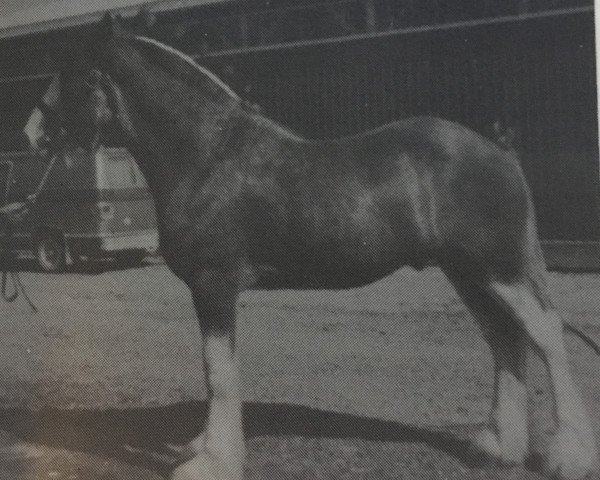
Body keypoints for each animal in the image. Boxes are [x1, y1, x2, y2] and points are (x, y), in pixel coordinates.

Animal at [22, 13, 596, 478]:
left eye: (73, 74)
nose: (30, 133)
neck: (208, 156)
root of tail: (498, 150)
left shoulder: (214, 286)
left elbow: (219, 373)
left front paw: (213, 461)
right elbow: (216, 372)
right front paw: (203, 449)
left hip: (498, 268)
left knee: (544, 335)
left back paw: (567, 456)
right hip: (469, 274)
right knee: (504, 340)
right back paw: (499, 447)